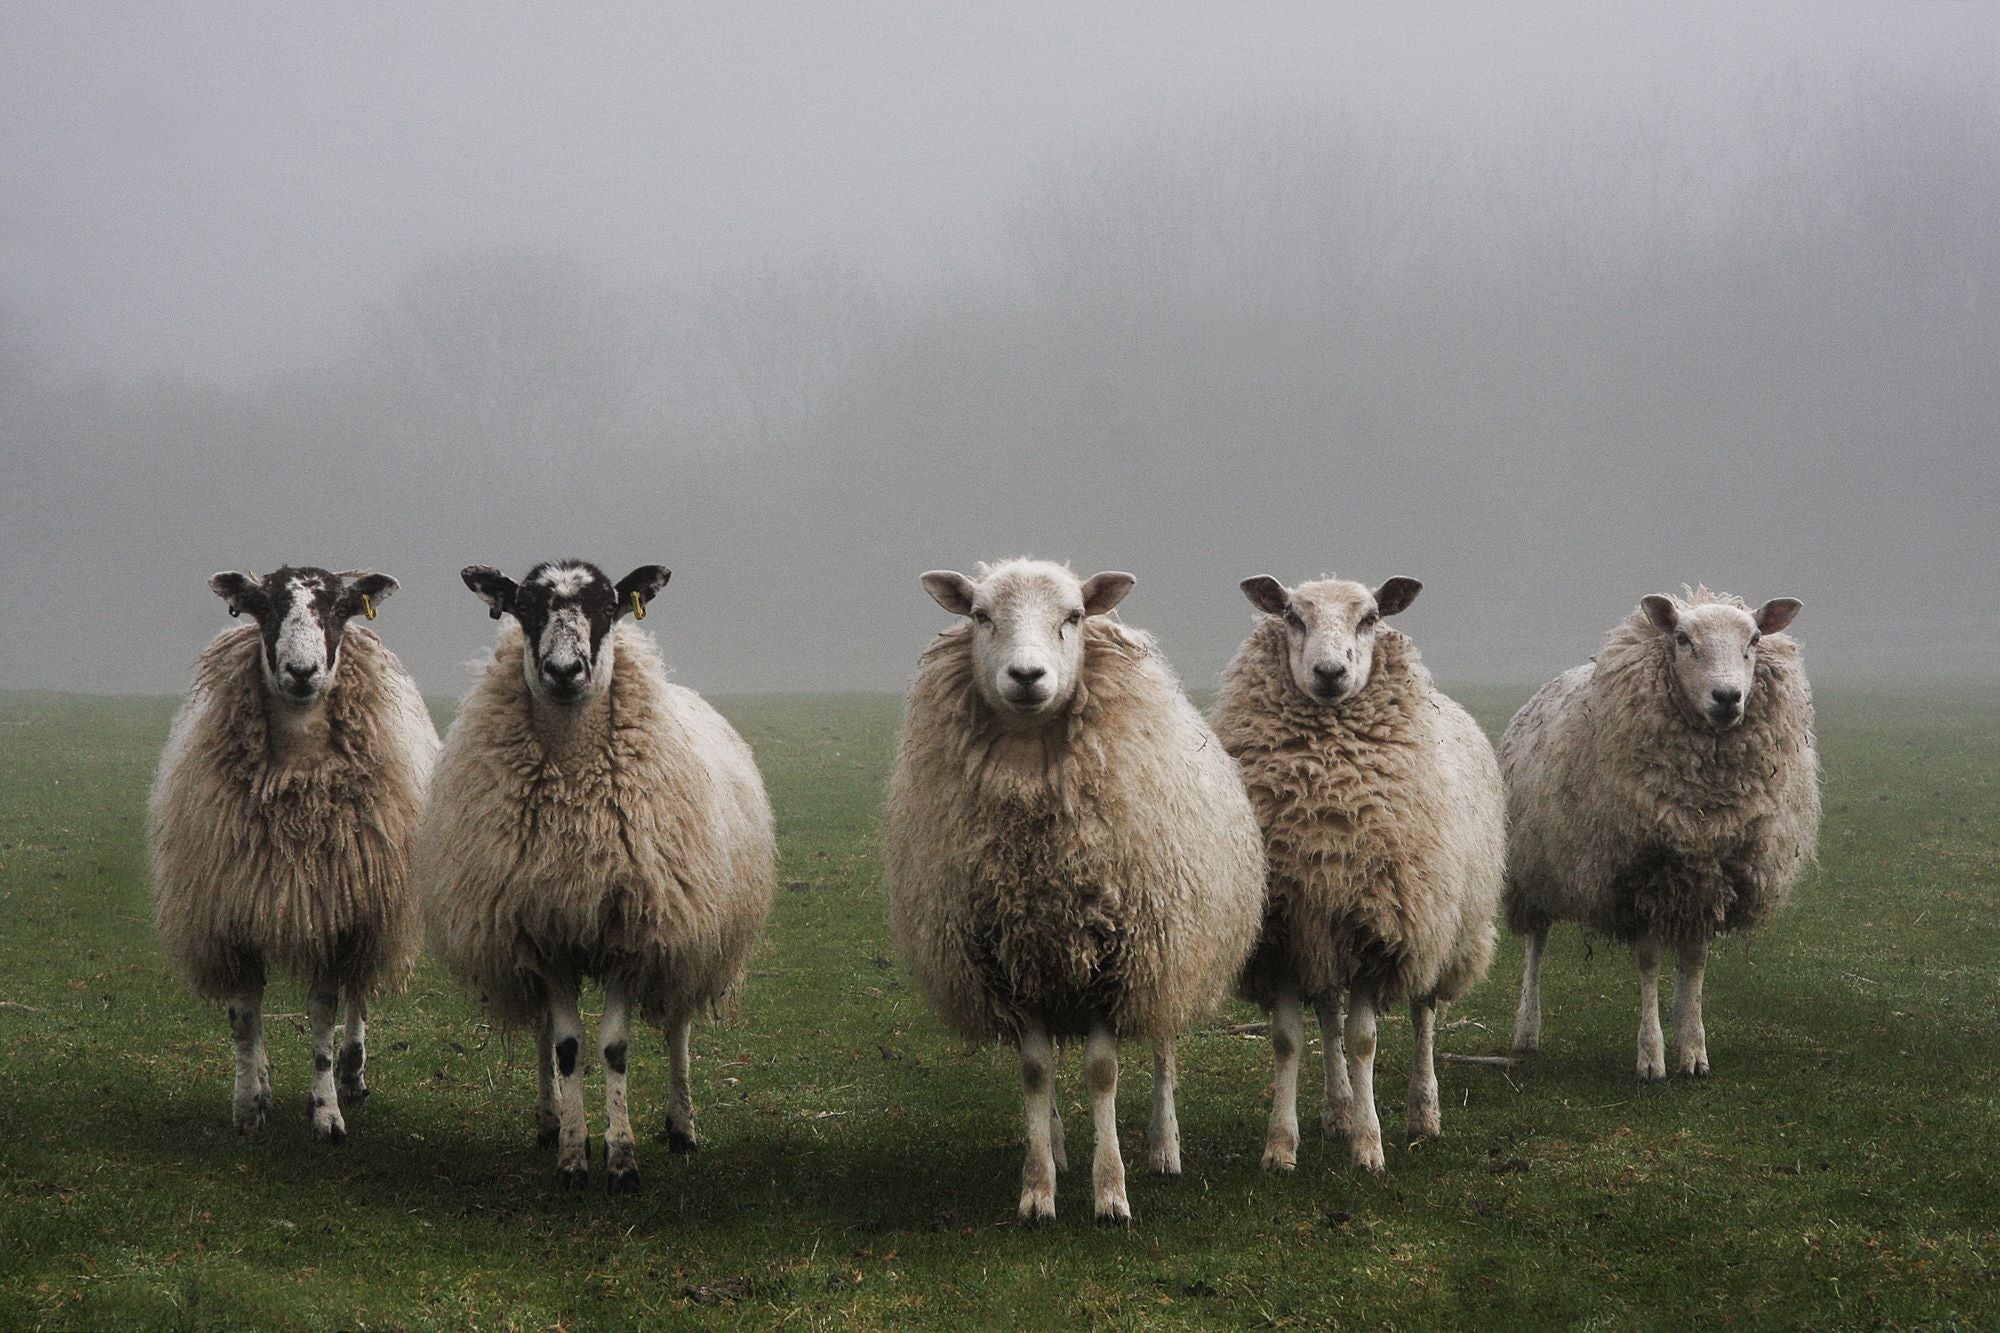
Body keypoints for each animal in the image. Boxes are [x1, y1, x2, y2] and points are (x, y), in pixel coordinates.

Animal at [150, 564, 440, 1136]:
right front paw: (247, 1105)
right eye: (264, 607)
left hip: (372, 907)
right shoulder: (233, 911)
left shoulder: (336, 911)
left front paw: (326, 1110)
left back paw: (353, 1075)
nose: (302, 672)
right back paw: (263, 1082)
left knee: (358, 993)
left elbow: (324, 1014)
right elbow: (244, 1016)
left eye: (338, 609)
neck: (297, 775)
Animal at [414, 556, 772, 1184]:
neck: (574, 791)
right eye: (524, 608)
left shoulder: (633, 932)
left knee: (677, 1023)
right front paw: (573, 1157)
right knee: (543, 1031)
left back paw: (682, 1126)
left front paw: (622, 1158)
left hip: (688, 931)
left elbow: (614, 1049)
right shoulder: (545, 934)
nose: (563, 671)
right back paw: (549, 1122)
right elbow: (568, 1048)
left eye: (608, 607)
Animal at [884, 556, 1256, 1216]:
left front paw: (1110, 1192)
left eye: (1075, 616)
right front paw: (1037, 1190)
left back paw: (1164, 1148)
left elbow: (1103, 1071)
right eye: (980, 615)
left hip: (1170, 949)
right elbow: (1035, 1071)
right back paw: (1057, 1147)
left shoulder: (1119, 956)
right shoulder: (1011, 957)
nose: (1027, 675)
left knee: (1163, 1046)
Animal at [1200, 564, 1504, 1168]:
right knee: (1328, 1016)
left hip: (1440, 928)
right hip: (1324, 932)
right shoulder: (1285, 933)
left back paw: (1423, 1113)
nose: (1330, 672)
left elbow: (1366, 1041)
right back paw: (1337, 1110)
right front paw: (1281, 1147)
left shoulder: (1381, 930)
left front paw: (1369, 1147)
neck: (1327, 804)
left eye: (1371, 618)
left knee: (1423, 1015)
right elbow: (1289, 1040)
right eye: (1291, 615)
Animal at [1504, 580, 1816, 1080]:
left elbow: (1694, 964)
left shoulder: (1708, 880)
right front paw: (1651, 1057)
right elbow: (1649, 963)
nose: (1727, 697)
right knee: (1537, 942)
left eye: (1753, 640)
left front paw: (1693, 1050)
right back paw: (1527, 1030)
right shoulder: (1640, 877)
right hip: (1534, 865)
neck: (1705, 802)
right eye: (1682, 640)